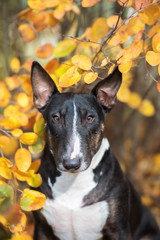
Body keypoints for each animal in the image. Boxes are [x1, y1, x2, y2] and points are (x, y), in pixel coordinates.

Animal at [30, 62, 159, 240]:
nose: (71, 164)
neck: (73, 184)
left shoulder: (119, 230)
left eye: (90, 118)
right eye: (56, 118)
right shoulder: (42, 228)